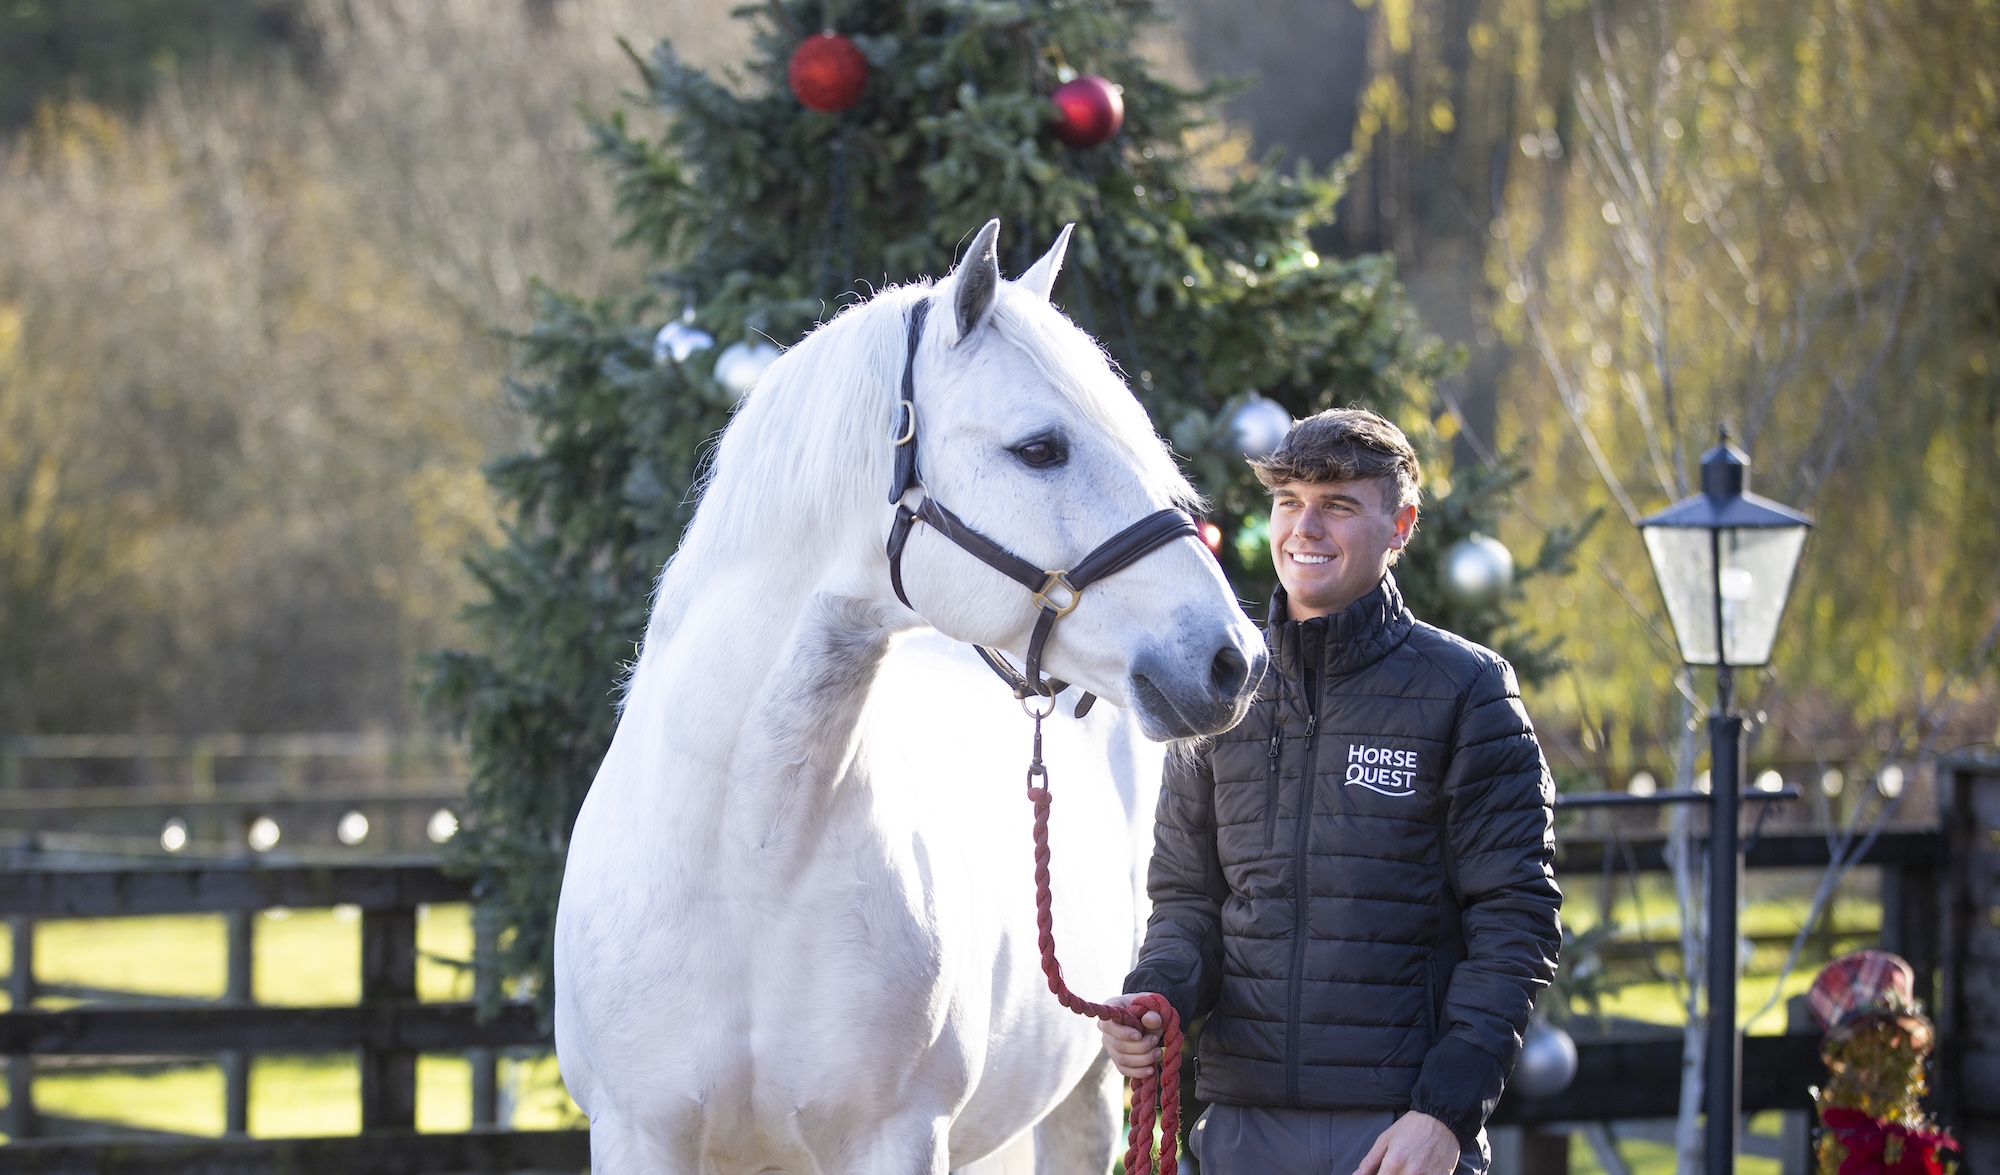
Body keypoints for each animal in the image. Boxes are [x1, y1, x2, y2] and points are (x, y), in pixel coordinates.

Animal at [554, 219, 1265, 1174]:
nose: (1234, 660)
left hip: (1087, 1094)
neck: (745, 868)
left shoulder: (896, 1137)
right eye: (1039, 448)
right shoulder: (637, 1134)